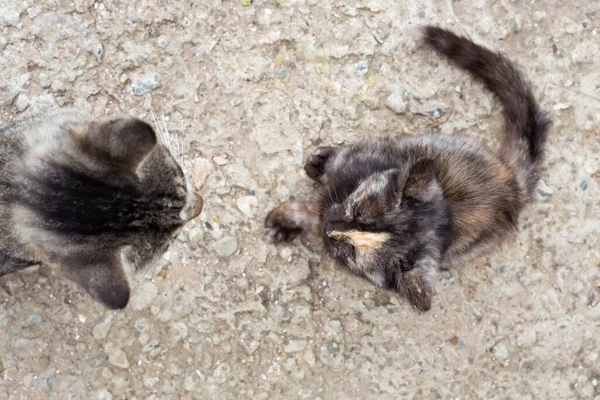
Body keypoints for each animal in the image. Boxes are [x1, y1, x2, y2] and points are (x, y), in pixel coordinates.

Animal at [264, 27, 552, 312]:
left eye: (352, 251)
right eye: (357, 210)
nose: (330, 227)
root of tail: (513, 182)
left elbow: (309, 214)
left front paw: (286, 220)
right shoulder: (366, 156)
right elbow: (339, 160)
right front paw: (318, 164)